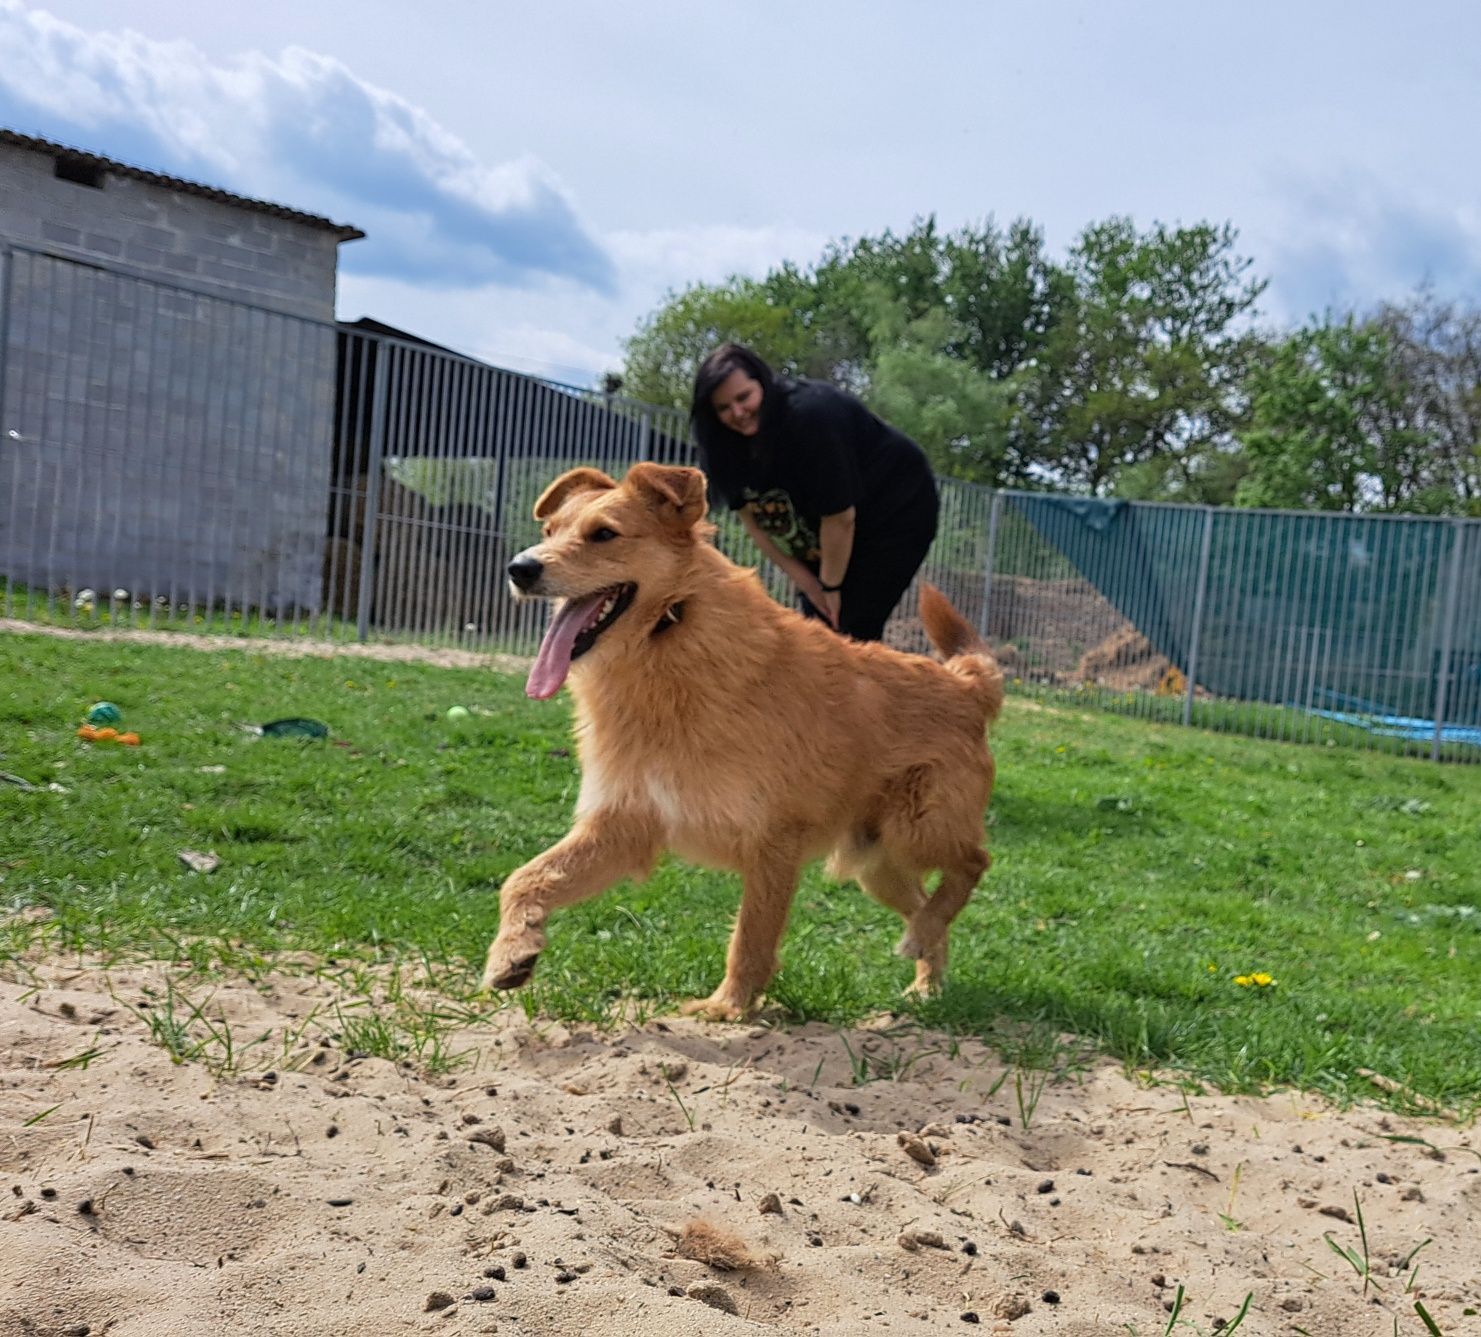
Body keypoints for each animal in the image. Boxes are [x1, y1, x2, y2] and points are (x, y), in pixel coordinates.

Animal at [485, 464, 1007, 1018]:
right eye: (548, 531)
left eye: (603, 534)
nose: (519, 568)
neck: (669, 633)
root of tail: (966, 683)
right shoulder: (623, 824)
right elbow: (524, 878)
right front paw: (512, 953)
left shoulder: (773, 837)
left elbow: (752, 935)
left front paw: (728, 1007)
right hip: (878, 864)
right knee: (926, 903)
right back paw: (927, 973)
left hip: (919, 827)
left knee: (974, 864)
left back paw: (925, 935)